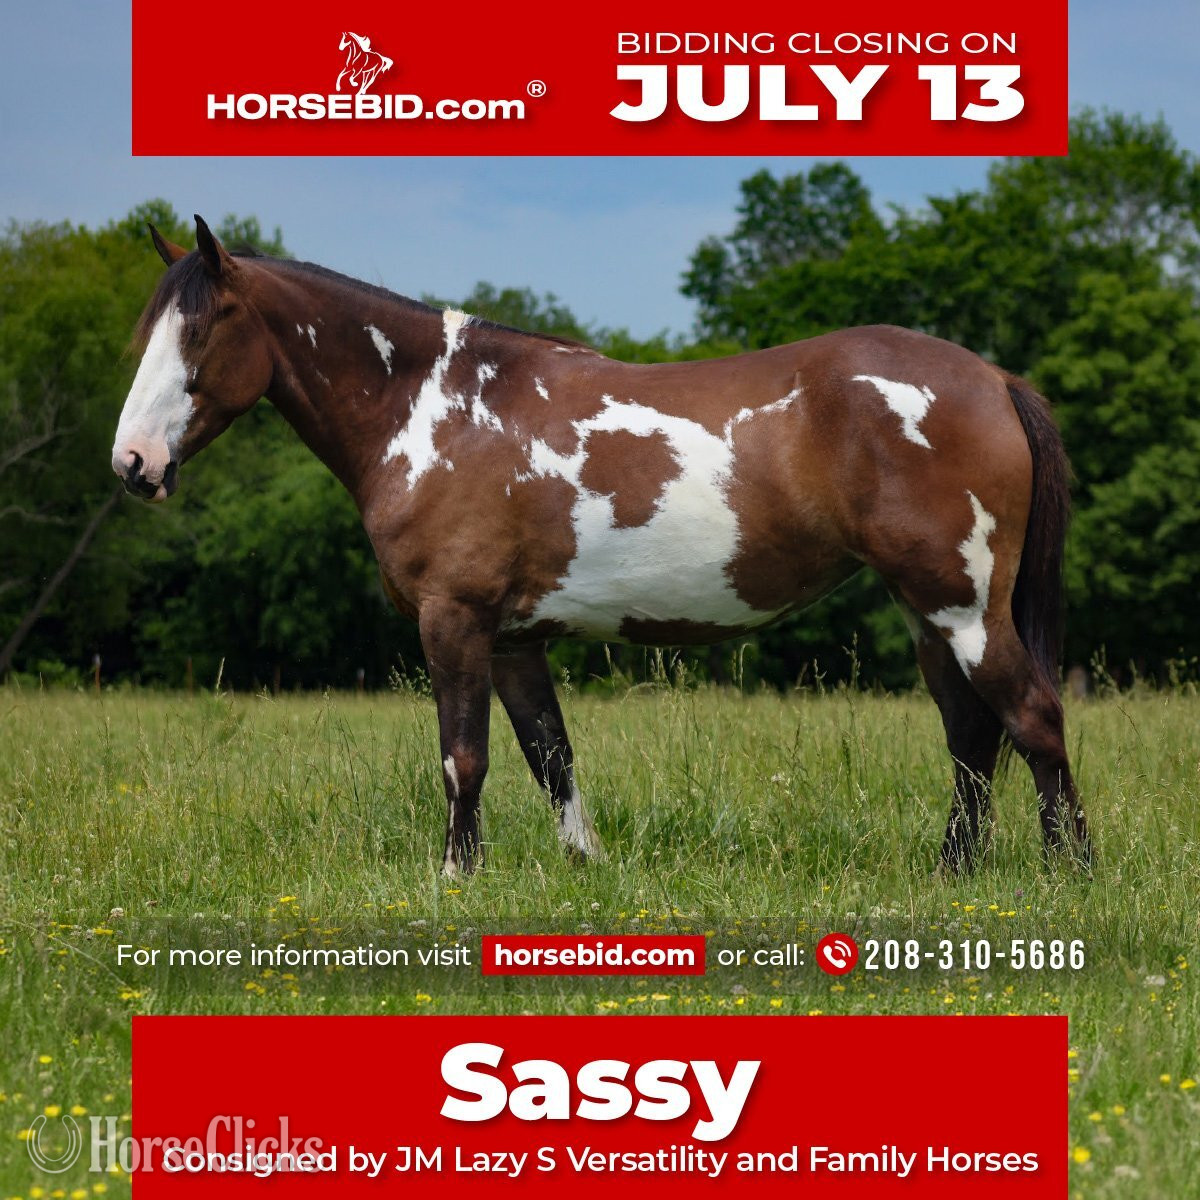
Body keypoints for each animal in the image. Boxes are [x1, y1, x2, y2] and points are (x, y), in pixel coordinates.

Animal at [112, 216, 1092, 876]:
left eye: (201, 329)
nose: (134, 464)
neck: (432, 411)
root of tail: (991, 377)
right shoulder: (513, 639)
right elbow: (549, 755)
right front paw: (584, 863)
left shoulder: (453, 621)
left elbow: (462, 758)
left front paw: (454, 877)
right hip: (931, 614)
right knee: (971, 737)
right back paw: (954, 870)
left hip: (961, 607)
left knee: (1033, 716)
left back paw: (1068, 873)